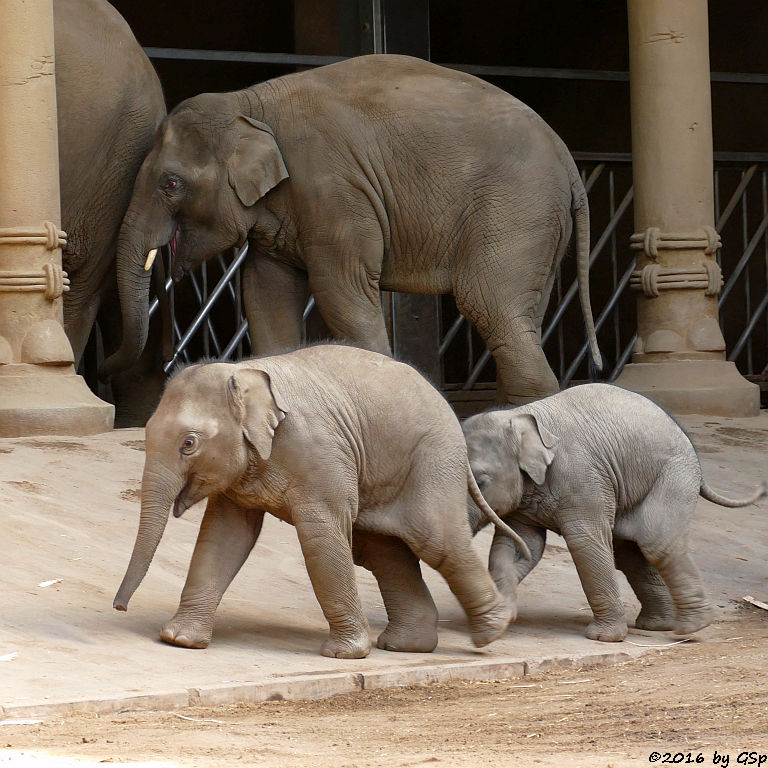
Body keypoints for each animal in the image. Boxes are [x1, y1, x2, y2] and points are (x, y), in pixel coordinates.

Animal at [102, 54, 604, 402]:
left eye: (170, 184)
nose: (105, 367)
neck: (247, 101)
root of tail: (568, 162)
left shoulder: (334, 189)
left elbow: (340, 291)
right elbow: (266, 295)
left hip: (517, 210)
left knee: (490, 306)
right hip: (537, 227)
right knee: (518, 320)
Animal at [112, 344, 528, 656]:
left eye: (189, 443)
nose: (120, 607)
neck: (245, 372)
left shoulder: (319, 453)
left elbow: (321, 537)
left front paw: (345, 654)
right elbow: (224, 536)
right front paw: (180, 640)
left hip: (431, 461)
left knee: (437, 540)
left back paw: (491, 630)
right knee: (384, 551)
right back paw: (407, 645)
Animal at [462, 384, 768, 640]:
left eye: (481, 481)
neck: (519, 416)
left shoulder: (582, 479)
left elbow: (585, 543)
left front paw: (602, 638)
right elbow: (519, 546)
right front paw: (498, 623)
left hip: (674, 474)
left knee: (657, 542)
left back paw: (691, 628)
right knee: (631, 553)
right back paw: (658, 625)